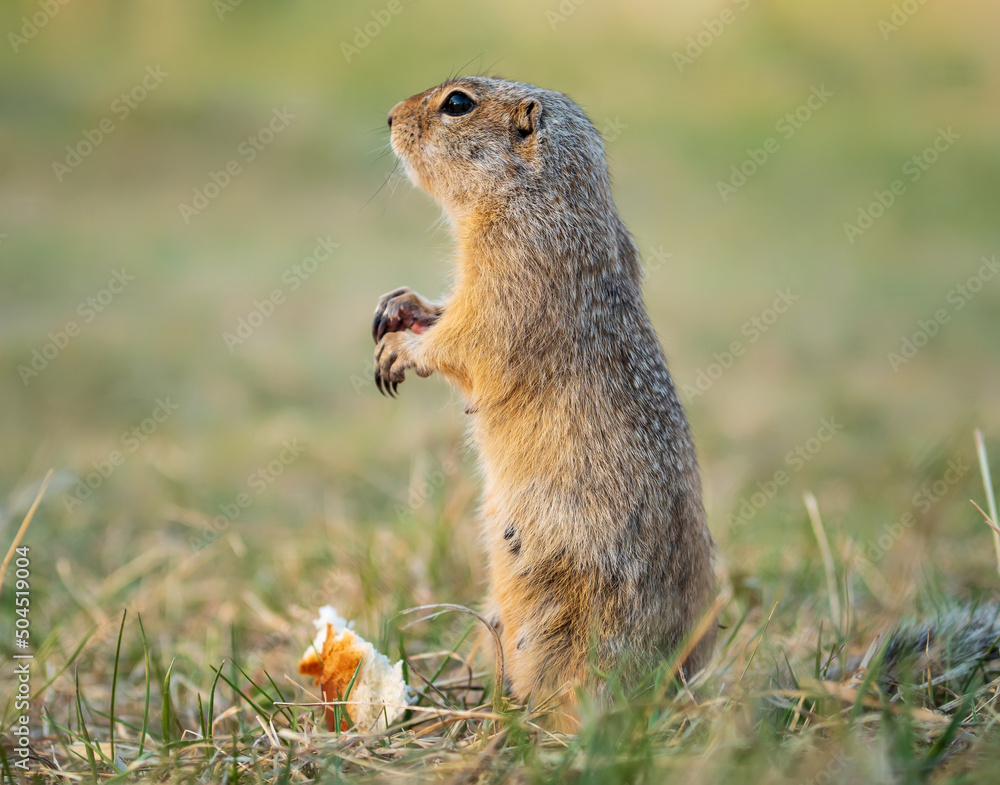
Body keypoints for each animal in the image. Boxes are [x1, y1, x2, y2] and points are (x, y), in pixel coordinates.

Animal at [372, 78, 716, 716]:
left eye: (457, 103)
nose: (387, 116)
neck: (541, 192)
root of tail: (677, 680)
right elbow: (445, 313)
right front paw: (400, 306)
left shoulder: (513, 264)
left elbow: (470, 337)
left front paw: (403, 350)